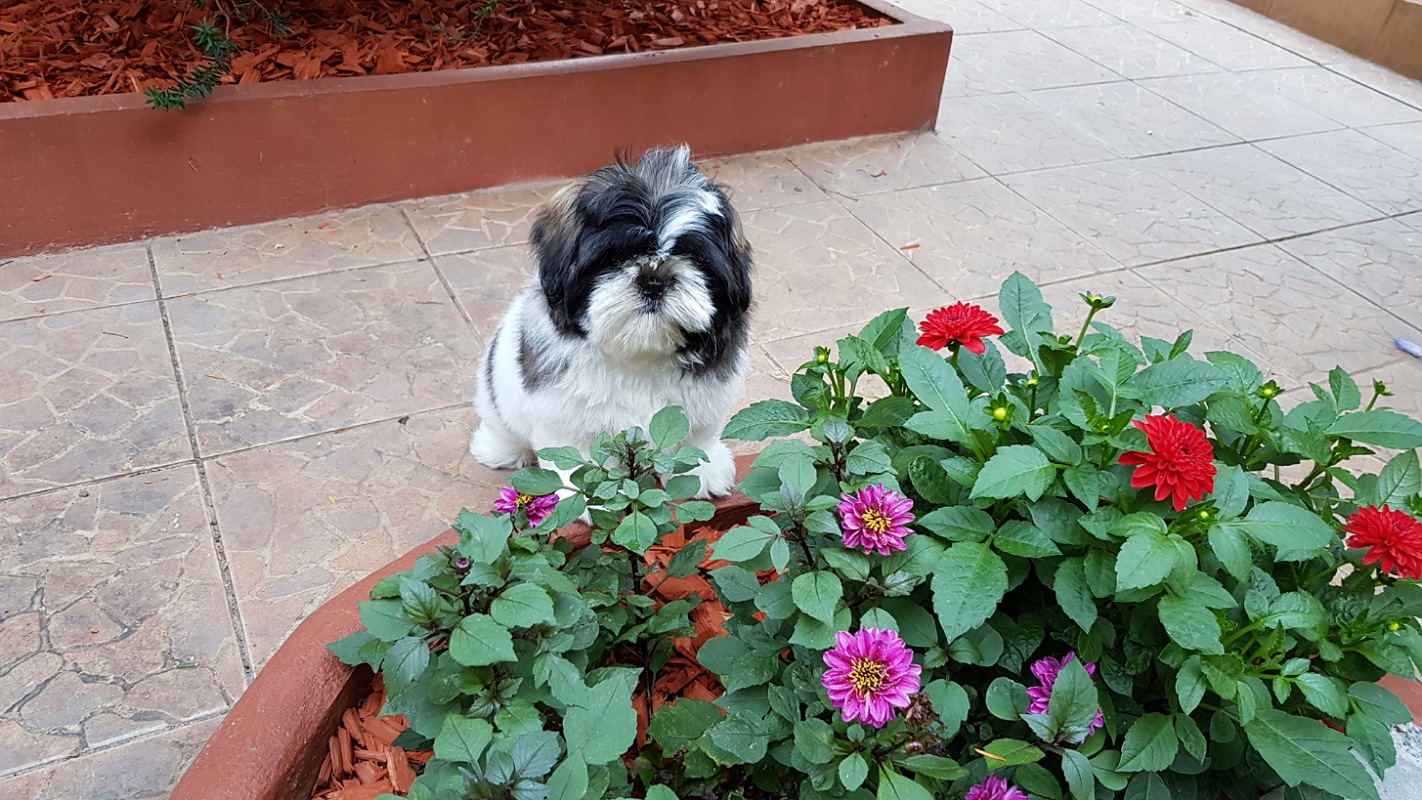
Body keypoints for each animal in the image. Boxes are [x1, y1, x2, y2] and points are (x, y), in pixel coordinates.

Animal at [469, 145, 753, 499]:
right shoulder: (561, 413)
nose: (653, 280)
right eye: (614, 256)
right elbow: (574, 453)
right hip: (493, 392)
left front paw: (701, 471)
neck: (640, 353)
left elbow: (697, 436)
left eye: (696, 259)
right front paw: (585, 493)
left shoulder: (706, 402)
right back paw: (498, 449)